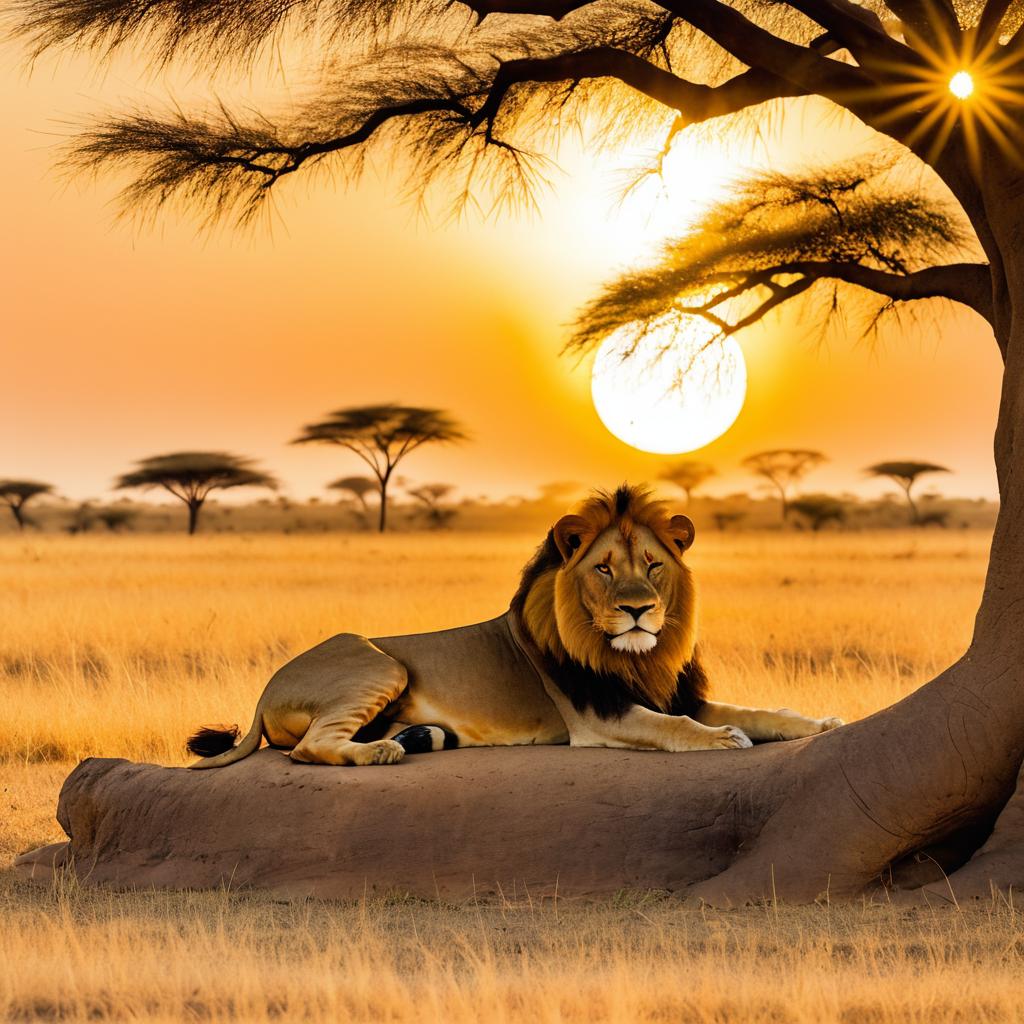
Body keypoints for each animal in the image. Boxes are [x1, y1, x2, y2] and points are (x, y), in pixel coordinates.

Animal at [188, 485, 843, 770]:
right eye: (604, 568)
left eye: (653, 565)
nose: (638, 610)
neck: (639, 655)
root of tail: (267, 689)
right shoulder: (599, 716)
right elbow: (675, 727)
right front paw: (722, 740)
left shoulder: (676, 692)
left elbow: (763, 712)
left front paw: (822, 723)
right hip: (377, 660)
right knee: (306, 748)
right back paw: (380, 752)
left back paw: (412, 738)